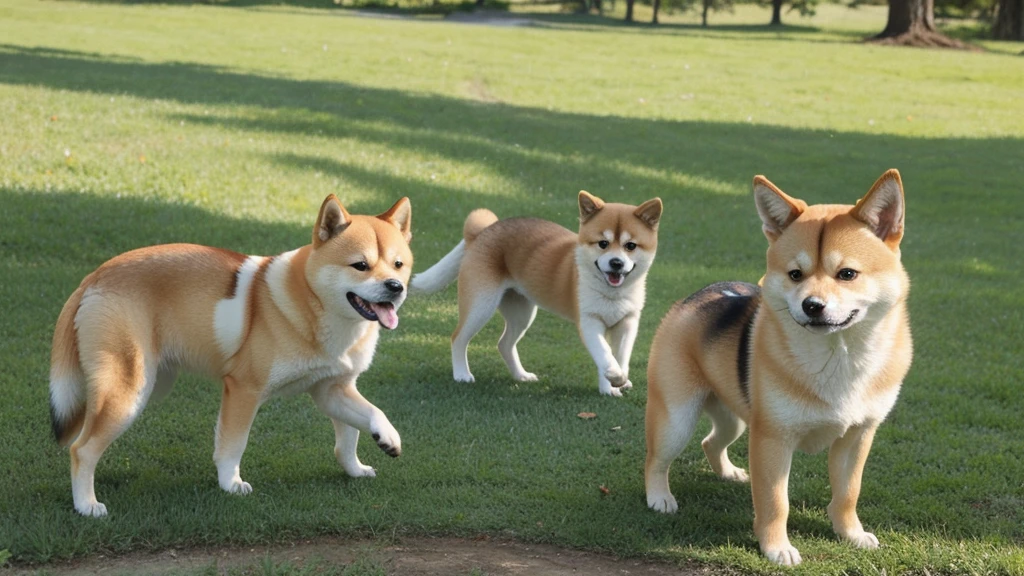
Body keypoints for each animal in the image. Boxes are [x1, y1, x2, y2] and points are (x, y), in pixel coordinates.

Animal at [49, 195, 412, 517]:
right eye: (360, 266)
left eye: (398, 265)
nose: (395, 287)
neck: (312, 303)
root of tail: (95, 276)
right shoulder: (243, 390)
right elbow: (233, 445)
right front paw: (231, 484)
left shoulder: (334, 389)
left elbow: (358, 427)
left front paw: (371, 454)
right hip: (128, 392)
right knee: (81, 450)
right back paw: (86, 506)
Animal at [411, 191, 662, 396]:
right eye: (603, 243)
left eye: (631, 246)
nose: (616, 263)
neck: (612, 293)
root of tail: (482, 231)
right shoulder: (589, 322)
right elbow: (604, 353)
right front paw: (613, 379)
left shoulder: (627, 323)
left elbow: (620, 356)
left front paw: (614, 383)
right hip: (481, 305)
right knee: (458, 338)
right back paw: (462, 374)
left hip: (521, 312)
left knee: (504, 344)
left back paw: (521, 376)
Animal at [644, 170, 912, 565]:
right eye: (795, 274)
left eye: (847, 274)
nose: (812, 305)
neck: (838, 354)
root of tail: (698, 295)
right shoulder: (772, 439)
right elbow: (774, 501)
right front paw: (776, 548)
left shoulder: (857, 436)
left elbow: (848, 492)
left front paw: (850, 534)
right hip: (677, 417)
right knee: (655, 459)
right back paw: (659, 497)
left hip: (735, 419)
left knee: (711, 441)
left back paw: (728, 473)